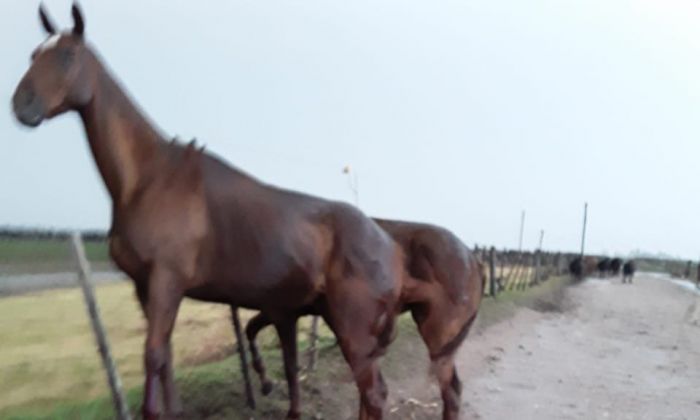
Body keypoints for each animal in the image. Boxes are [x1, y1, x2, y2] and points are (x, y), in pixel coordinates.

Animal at [12, 4, 404, 418]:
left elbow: (153, 356)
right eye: (34, 55)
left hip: (352, 324)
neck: (150, 178)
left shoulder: (167, 281)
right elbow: (165, 358)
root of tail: (389, 244)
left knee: (373, 392)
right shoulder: (145, 287)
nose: (22, 106)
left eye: (68, 55)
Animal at [241, 218, 482, 420]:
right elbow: (251, 329)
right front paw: (266, 383)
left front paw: (270, 387)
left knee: (449, 392)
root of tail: (472, 259)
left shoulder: (283, 311)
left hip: (436, 337)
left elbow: (287, 364)